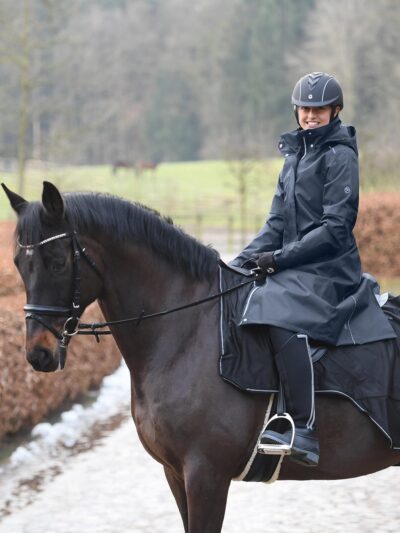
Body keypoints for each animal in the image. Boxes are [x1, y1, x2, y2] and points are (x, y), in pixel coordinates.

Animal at [3, 181, 400, 528]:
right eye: (18, 264)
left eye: (57, 262)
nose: (38, 354)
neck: (187, 331)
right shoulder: (175, 473)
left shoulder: (205, 475)